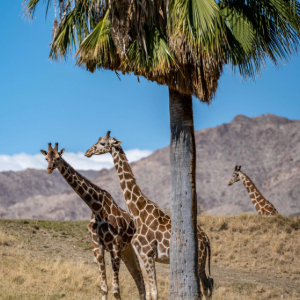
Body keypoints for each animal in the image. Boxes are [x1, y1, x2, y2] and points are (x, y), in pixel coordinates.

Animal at [40, 142, 146, 300]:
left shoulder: (115, 244)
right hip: (128, 250)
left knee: (143, 279)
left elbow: (116, 290)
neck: (97, 208)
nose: (48, 169)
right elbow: (104, 287)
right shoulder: (97, 246)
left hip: (138, 249)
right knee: (139, 278)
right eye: (46, 158)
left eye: (58, 157)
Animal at [84, 131, 213, 300]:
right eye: (98, 140)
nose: (87, 152)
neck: (138, 212)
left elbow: (154, 292)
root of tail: (207, 239)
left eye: (103, 143)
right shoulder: (142, 255)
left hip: (196, 261)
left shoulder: (147, 253)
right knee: (208, 285)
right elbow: (149, 291)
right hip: (201, 262)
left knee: (205, 287)